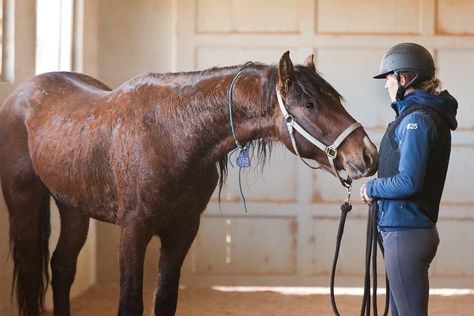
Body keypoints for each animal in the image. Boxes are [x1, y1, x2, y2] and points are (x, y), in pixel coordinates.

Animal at [0, 52, 378, 316]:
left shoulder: (182, 230)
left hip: (73, 207)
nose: (368, 154)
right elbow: (130, 303)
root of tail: (22, 93)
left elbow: (165, 301)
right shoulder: (133, 229)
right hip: (23, 202)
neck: (169, 135)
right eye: (310, 104)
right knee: (32, 273)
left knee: (62, 268)